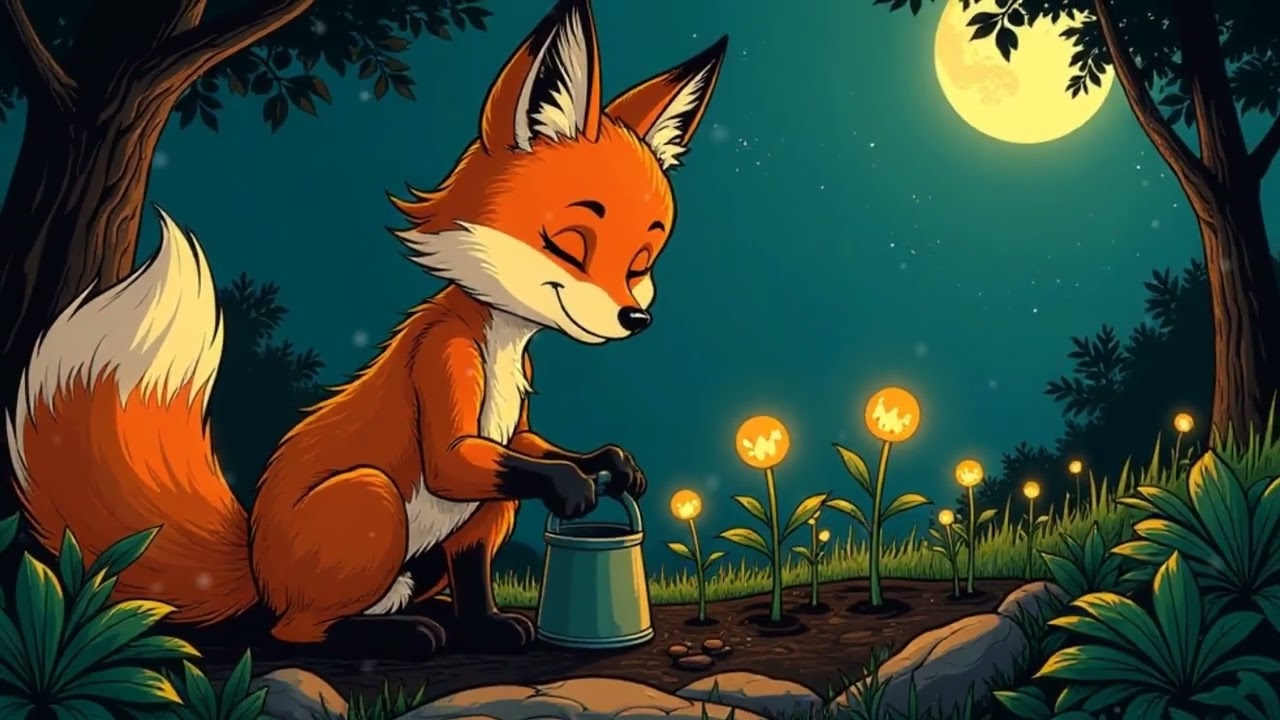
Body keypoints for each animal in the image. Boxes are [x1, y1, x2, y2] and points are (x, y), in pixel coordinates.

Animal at [3, 0, 726, 659]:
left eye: (642, 260)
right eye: (571, 245)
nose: (637, 318)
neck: (499, 340)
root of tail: (255, 568)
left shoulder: (510, 433)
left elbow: (533, 460)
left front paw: (608, 464)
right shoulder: (444, 374)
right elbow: (472, 460)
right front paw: (576, 487)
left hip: (468, 519)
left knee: (448, 571)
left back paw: (467, 626)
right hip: (370, 499)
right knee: (295, 631)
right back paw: (400, 636)